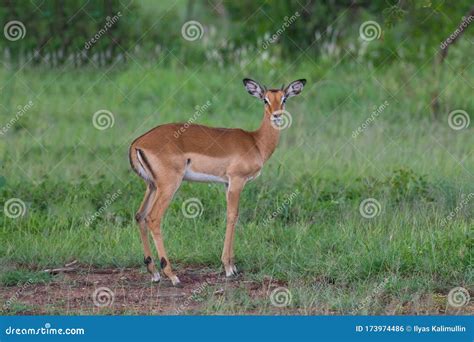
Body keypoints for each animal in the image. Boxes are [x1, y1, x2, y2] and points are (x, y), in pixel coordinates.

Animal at [129, 78, 308, 286]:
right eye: (265, 100)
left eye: (284, 98)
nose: (277, 116)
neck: (256, 142)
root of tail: (137, 143)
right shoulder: (237, 181)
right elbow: (232, 216)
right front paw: (229, 268)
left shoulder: (226, 184)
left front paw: (233, 266)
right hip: (168, 186)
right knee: (153, 218)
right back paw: (172, 275)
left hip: (151, 186)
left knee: (140, 215)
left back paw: (154, 273)